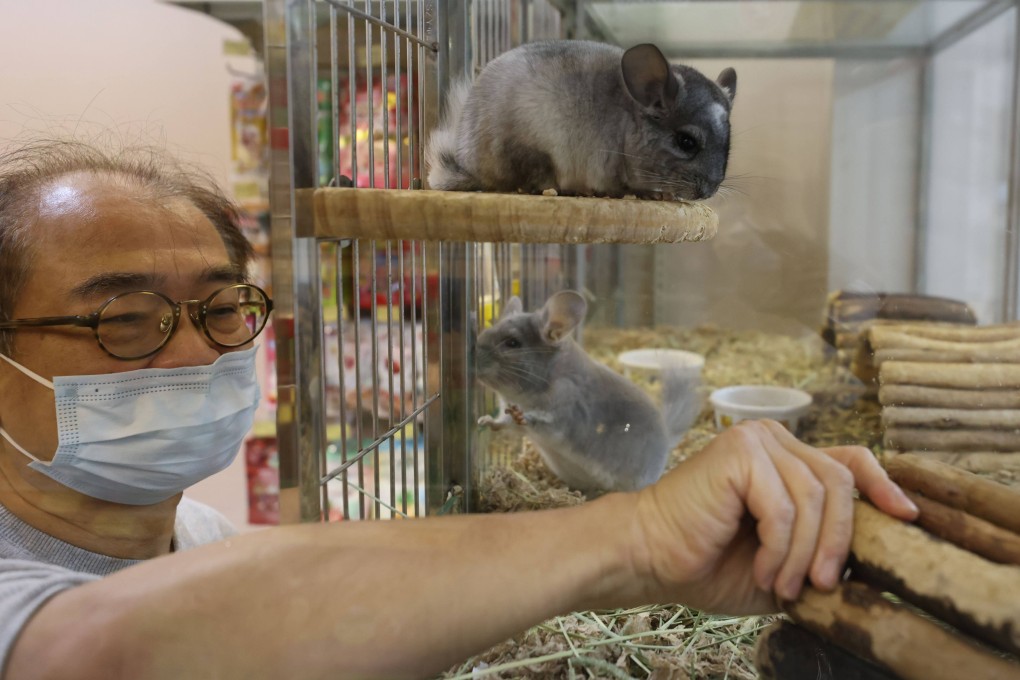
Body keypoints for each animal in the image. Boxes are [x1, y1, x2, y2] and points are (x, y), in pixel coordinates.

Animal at [426, 40, 736, 201]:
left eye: (728, 146)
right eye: (686, 142)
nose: (709, 192)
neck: (629, 121)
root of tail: (469, 164)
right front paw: (656, 195)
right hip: (533, 152)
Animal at [474, 290, 702, 494]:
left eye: (512, 343)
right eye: (486, 332)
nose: (472, 362)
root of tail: (668, 439)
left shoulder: (565, 411)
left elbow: (539, 419)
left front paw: (522, 416)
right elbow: (503, 423)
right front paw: (484, 420)